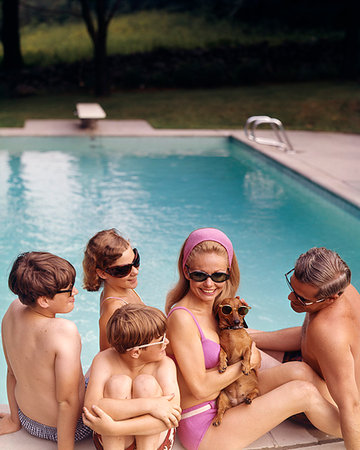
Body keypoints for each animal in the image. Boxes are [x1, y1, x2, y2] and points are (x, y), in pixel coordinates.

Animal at [211, 296, 258, 426]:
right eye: (227, 309)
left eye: (241, 309)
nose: (237, 322)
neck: (232, 331)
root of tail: (236, 402)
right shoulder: (222, 348)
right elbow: (222, 353)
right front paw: (222, 365)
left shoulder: (248, 347)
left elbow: (247, 355)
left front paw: (246, 367)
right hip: (222, 397)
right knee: (221, 410)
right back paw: (217, 419)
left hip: (257, 390)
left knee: (254, 393)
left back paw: (248, 398)